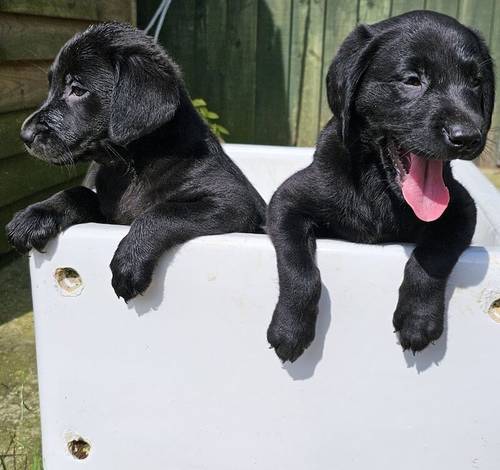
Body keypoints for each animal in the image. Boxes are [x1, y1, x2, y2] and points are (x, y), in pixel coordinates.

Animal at [5, 22, 268, 302]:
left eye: (77, 89)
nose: (24, 135)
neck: (131, 168)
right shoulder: (107, 213)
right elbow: (78, 193)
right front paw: (35, 215)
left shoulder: (232, 203)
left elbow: (163, 212)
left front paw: (129, 260)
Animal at [268, 11, 494, 364]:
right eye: (412, 80)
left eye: (475, 82)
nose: (467, 137)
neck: (380, 190)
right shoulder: (286, 202)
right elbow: (299, 266)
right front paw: (290, 329)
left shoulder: (461, 209)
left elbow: (433, 255)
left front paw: (418, 320)